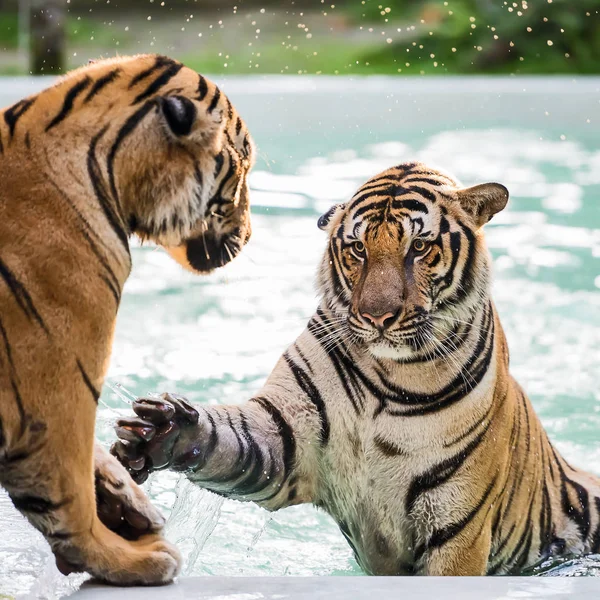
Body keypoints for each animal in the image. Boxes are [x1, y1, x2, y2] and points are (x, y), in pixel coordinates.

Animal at [0, 54, 255, 584]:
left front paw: (127, 501)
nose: (248, 234)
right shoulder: (55, 391)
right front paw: (126, 557)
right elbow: (68, 494)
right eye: (242, 165)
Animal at [111, 161, 600, 576]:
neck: (392, 377)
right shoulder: (284, 437)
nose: (377, 317)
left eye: (418, 247)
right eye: (358, 248)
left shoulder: (456, 528)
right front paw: (163, 434)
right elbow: (233, 441)